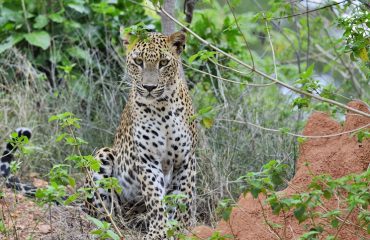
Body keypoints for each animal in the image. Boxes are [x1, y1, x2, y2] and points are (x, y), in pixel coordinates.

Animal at [85, 31, 198, 239]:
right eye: (138, 61)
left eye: (163, 62)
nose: (149, 87)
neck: (162, 108)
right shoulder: (148, 160)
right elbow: (155, 199)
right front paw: (158, 231)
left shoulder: (186, 160)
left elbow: (183, 198)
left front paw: (181, 229)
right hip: (103, 155)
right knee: (104, 214)